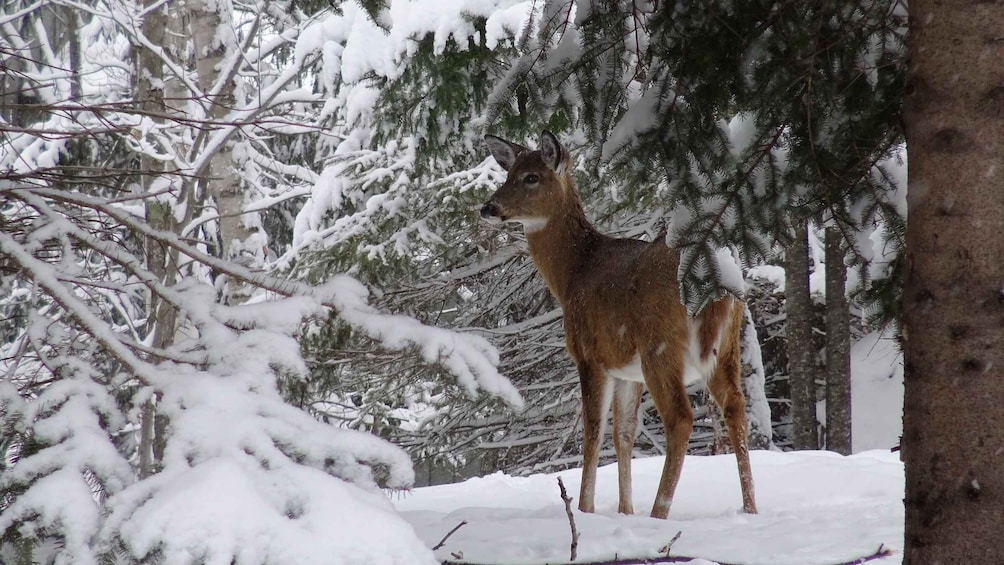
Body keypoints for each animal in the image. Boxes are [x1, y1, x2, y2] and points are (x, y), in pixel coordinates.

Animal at [481, 130, 755, 517]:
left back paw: (660, 513)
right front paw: (626, 511)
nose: (488, 208)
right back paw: (750, 509)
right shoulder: (627, 369)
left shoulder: (589, 355)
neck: (573, 275)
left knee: (681, 418)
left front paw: (585, 508)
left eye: (532, 177)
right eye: (508, 174)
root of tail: (715, 278)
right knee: (735, 406)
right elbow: (623, 433)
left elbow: (593, 432)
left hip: (660, 344)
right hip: (726, 345)